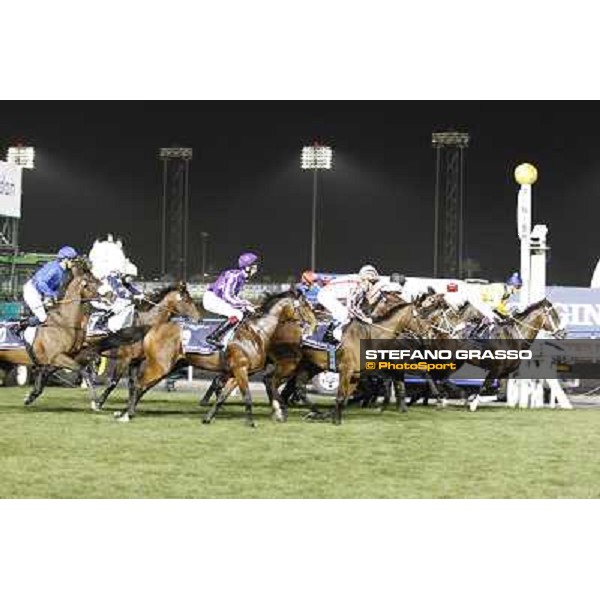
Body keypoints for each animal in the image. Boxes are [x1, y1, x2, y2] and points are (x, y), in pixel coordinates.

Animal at [0, 260, 106, 406]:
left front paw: (31, 395)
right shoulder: (57, 356)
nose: (110, 294)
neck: (64, 323)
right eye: (90, 281)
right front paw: (96, 401)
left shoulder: (63, 356)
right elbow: (81, 369)